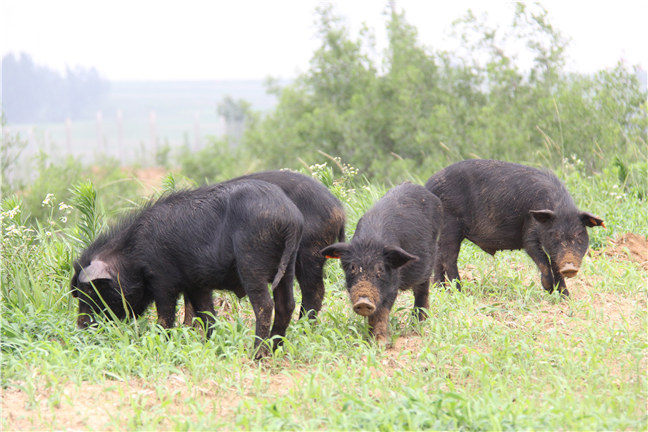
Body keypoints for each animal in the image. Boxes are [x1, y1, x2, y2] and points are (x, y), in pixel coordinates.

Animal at [71, 180, 304, 358]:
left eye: (91, 290)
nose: (80, 326)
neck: (132, 255)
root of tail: (290, 218)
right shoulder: (196, 284)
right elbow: (207, 314)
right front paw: (206, 344)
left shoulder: (163, 280)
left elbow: (165, 316)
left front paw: (161, 340)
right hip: (289, 265)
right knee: (287, 304)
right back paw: (274, 349)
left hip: (252, 260)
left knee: (265, 305)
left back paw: (256, 354)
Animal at [318, 182, 440, 344]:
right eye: (353, 267)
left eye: (380, 269)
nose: (363, 301)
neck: (369, 242)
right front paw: (369, 339)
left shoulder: (392, 284)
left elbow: (382, 311)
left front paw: (380, 342)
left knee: (422, 291)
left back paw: (418, 325)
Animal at [426, 159, 604, 296]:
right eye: (555, 234)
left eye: (580, 234)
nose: (569, 267)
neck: (560, 208)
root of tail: (429, 184)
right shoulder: (530, 232)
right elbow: (541, 259)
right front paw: (548, 288)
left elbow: (554, 265)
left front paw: (565, 297)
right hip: (451, 226)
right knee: (449, 259)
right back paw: (458, 291)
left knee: (438, 257)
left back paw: (440, 289)